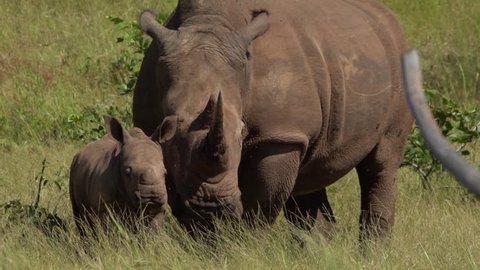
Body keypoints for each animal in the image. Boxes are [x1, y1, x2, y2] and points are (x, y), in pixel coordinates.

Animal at [134, 0, 412, 240]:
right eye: (169, 133)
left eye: (242, 133)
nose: (213, 204)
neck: (210, 23)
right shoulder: (151, 131)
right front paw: (210, 246)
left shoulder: (279, 136)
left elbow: (260, 208)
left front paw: (244, 248)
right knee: (308, 182)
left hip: (399, 64)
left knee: (381, 163)